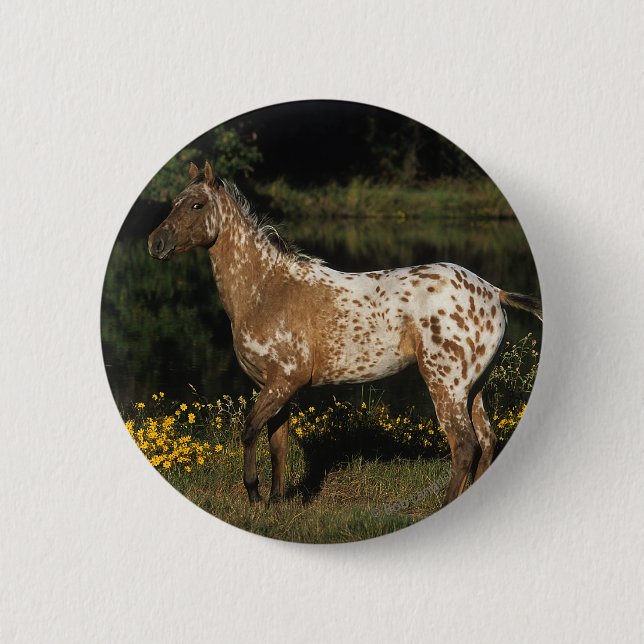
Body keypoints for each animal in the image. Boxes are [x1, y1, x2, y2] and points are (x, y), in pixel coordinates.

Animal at [148, 162, 542, 506]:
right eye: (174, 202)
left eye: (197, 205)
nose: (156, 243)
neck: (265, 289)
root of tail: (493, 292)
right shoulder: (276, 387)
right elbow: (278, 444)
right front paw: (276, 502)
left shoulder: (283, 382)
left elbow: (249, 431)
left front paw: (255, 495)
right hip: (473, 388)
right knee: (487, 442)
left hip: (446, 385)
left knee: (464, 447)